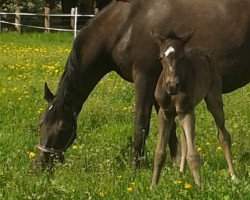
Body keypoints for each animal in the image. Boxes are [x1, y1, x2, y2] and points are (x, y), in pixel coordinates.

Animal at [34, 0, 249, 170]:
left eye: (62, 127)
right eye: (41, 123)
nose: (39, 164)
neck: (125, 25)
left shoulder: (144, 78)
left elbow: (141, 123)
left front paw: (135, 167)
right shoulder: (159, 87)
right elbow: (169, 127)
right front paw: (174, 163)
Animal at [150, 30, 236, 188]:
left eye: (182, 57)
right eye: (160, 57)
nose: (172, 86)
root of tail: (206, 54)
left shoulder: (186, 110)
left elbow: (193, 154)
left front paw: (199, 188)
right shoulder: (165, 113)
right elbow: (159, 152)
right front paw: (153, 187)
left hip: (213, 100)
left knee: (223, 135)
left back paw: (234, 176)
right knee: (184, 139)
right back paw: (181, 173)